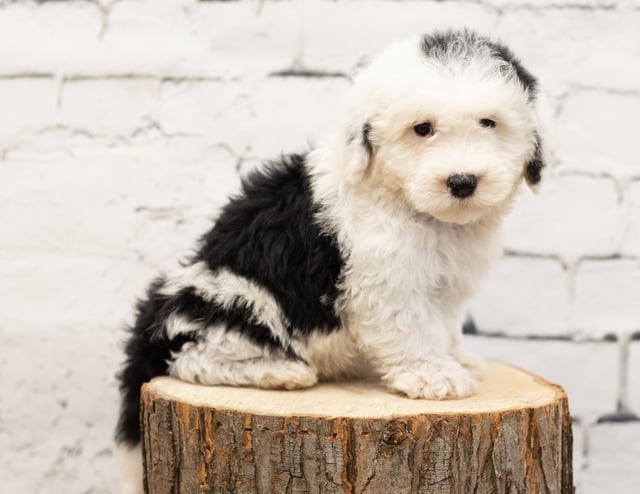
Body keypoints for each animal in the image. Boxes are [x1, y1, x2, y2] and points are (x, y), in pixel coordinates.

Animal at [116, 31, 544, 494]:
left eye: (489, 123)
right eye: (422, 129)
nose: (463, 182)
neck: (409, 202)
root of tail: (155, 317)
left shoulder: (446, 282)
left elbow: (443, 324)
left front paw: (457, 358)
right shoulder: (384, 279)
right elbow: (409, 328)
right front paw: (431, 374)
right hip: (236, 299)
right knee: (193, 357)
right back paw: (279, 372)